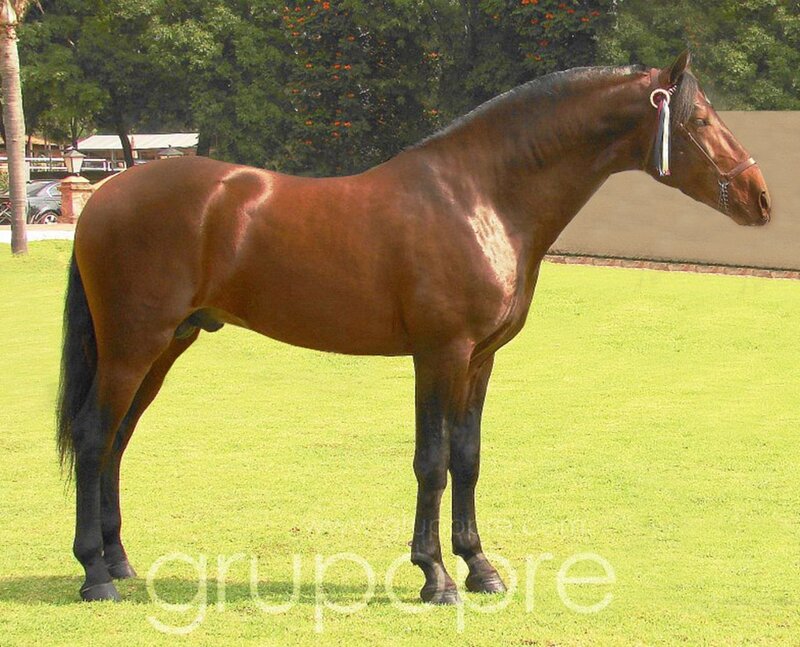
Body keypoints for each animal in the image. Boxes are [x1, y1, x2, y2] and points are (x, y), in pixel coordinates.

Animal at [57, 51, 771, 603]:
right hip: (132, 346)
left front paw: (480, 568)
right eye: (701, 119)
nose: (760, 198)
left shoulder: (480, 360)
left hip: (163, 348)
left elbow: (468, 458)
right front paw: (436, 577)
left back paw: (120, 561)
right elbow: (432, 462)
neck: (480, 196)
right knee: (93, 437)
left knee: (116, 441)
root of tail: (105, 195)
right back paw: (95, 574)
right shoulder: (439, 354)